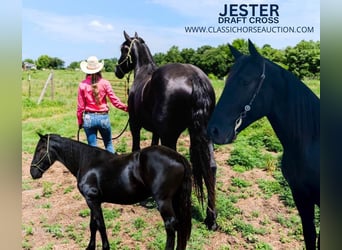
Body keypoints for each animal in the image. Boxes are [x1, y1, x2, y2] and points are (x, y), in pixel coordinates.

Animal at [29, 134, 192, 249]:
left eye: (40, 150)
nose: (33, 172)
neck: (86, 161)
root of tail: (178, 157)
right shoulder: (93, 201)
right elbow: (93, 225)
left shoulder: (92, 200)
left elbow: (100, 225)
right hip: (175, 199)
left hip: (163, 201)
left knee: (170, 226)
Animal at [113, 30, 218, 229]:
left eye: (123, 49)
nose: (117, 71)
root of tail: (194, 77)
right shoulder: (156, 131)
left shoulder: (135, 124)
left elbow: (136, 147)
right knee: (211, 167)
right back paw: (211, 218)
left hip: (170, 136)